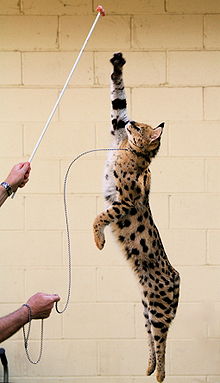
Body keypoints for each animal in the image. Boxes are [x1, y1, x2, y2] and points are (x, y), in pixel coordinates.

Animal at [93, 52, 180, 382]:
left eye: (141, 128)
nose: (131, 123)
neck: (126, 150)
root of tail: (176, 275)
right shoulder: (116, 129)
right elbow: (118, 100)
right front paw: (117, 64)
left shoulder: (127, 201)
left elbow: (101, 216)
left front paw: (99, 242)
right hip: (145, 306)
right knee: (151, 338)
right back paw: (149, 367)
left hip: (157, 306)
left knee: (163, 338)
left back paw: (160, 374)